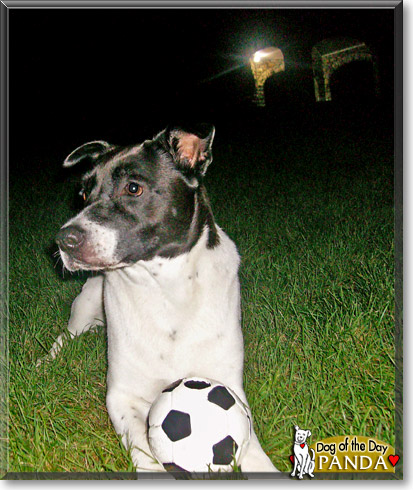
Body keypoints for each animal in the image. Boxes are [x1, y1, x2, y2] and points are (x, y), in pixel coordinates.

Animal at [51, 124, 276, 472]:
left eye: (133, 188)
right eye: (84, 195)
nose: (64, 240)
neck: (166, 291)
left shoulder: (229, 386)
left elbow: (250, 444)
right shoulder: (121, 395)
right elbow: (143, 450)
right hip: (85, 307)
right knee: (65, 337)